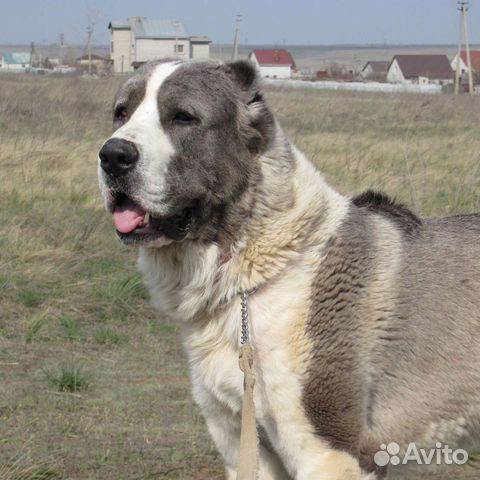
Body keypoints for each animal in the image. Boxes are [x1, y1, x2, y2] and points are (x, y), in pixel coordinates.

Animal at [97, 60, 480, 480]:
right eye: (121, 113)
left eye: (183, 117)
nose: (112, 155)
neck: (254, 277)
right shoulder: (245, 446)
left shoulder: (331, 452)